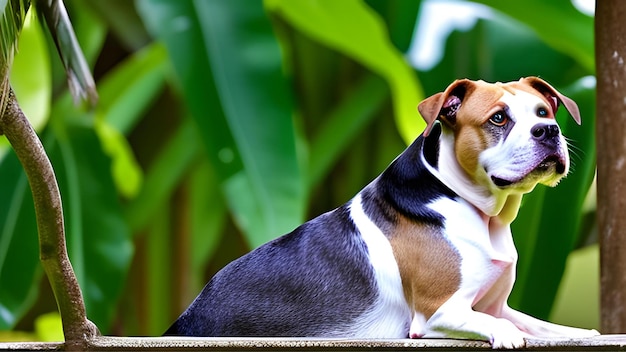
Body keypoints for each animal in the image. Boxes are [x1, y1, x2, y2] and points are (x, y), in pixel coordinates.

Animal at [166, 75, 600, 348]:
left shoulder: (497, 304)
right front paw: (506, 334)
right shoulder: (438, 312)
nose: (549, 132)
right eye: (498, 118)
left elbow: (542, 324)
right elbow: (498, 324)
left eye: (545, 113)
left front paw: (579, 333)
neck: (477, 209)